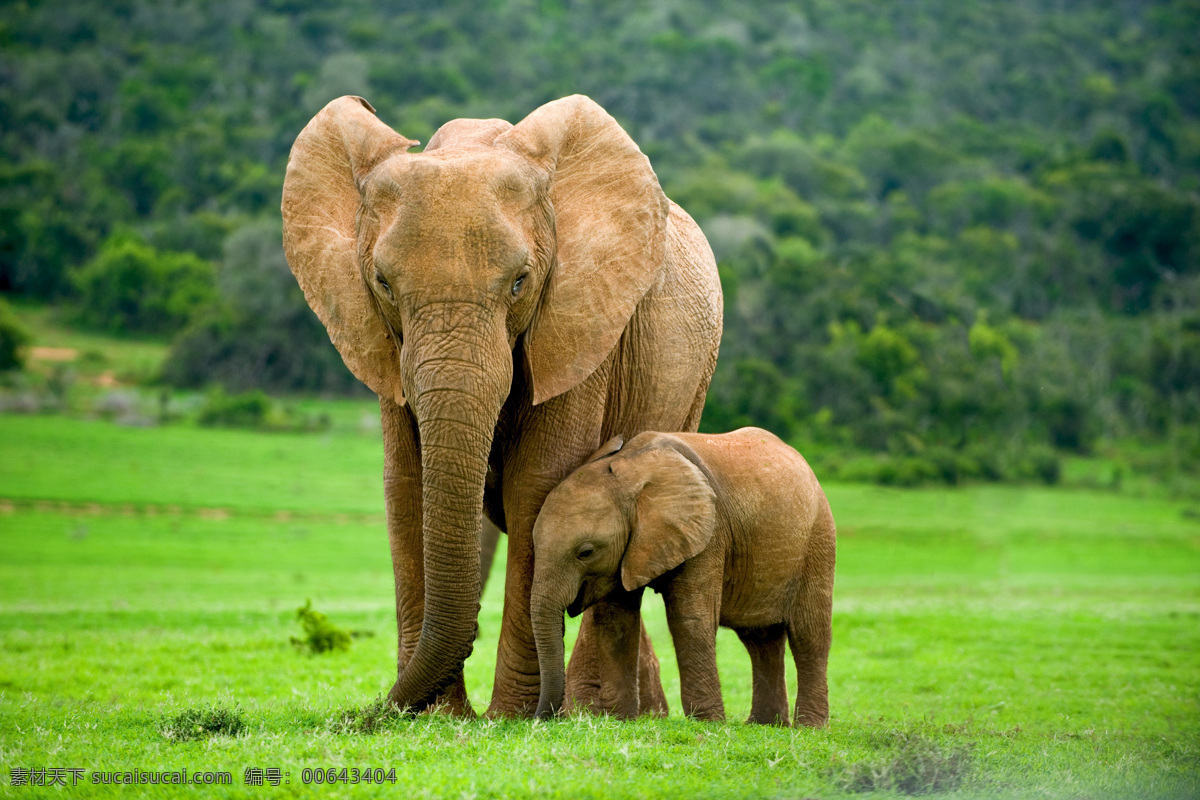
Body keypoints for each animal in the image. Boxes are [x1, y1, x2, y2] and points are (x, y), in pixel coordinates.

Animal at [280, 94, 720, 719]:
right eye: (383, 283)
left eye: (519, 282)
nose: (372, 714)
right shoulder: (383, 344)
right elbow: (406, 483)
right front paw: (438, 716)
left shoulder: (579, 320)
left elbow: (537, 483)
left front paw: (509, 717)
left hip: (693, 380)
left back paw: (600, 711)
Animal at [535, 431, 835, 724]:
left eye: (585, 552)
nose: (541, 719)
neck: (630, 471)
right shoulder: (626, 551)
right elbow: (615, 621)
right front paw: (620, 720)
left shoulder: (708, 533)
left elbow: (689, 617)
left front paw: (708, 723)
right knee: (759, 638)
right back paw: (764, 724)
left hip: (818, 539)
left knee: (809, 635)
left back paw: (809, 727)